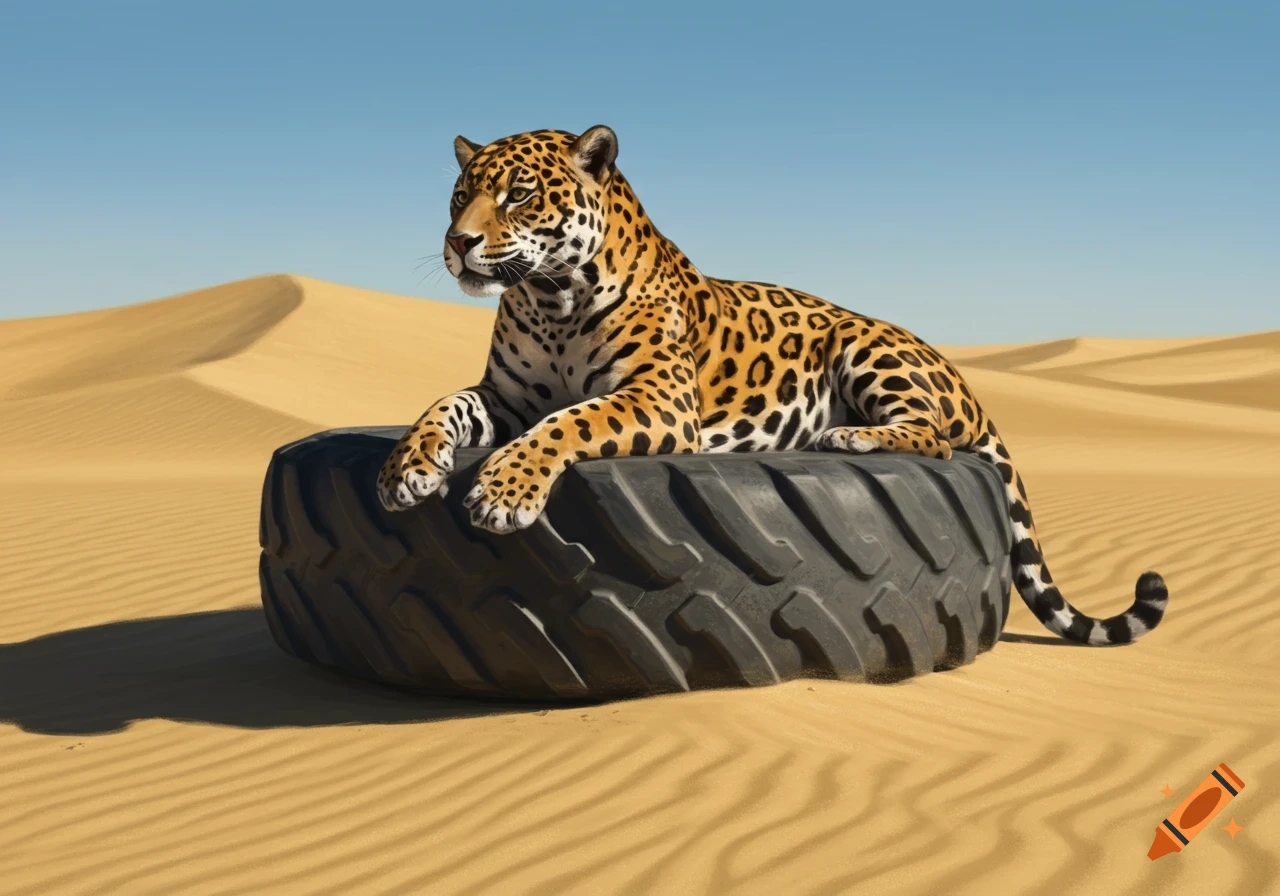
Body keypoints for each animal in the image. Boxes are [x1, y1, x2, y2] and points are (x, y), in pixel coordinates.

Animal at [376, 125, 1168, 646]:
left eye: (518, 194)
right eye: (459, 196)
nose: (457, 243)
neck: (550, 298)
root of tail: (966, 381)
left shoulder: (657, 400)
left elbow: (567, 424)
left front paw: (504, 493)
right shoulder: (506, 397)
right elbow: (445, 405)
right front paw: (405, 469)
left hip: (866, 347)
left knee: (937, 439)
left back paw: (848, 434)